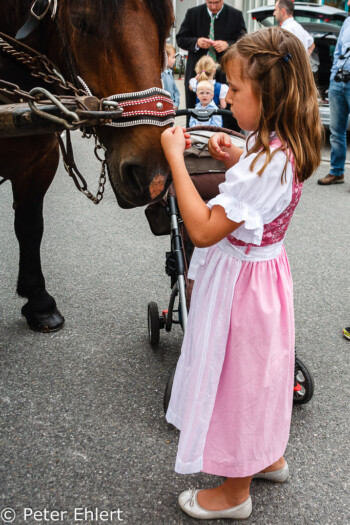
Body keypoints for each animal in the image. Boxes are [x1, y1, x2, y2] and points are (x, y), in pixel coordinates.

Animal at [0, 0, 175, 332]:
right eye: (81, 23)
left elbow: (30, 225)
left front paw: (39, 301)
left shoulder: (39, 163)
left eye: (168, 24)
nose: (153, 177)